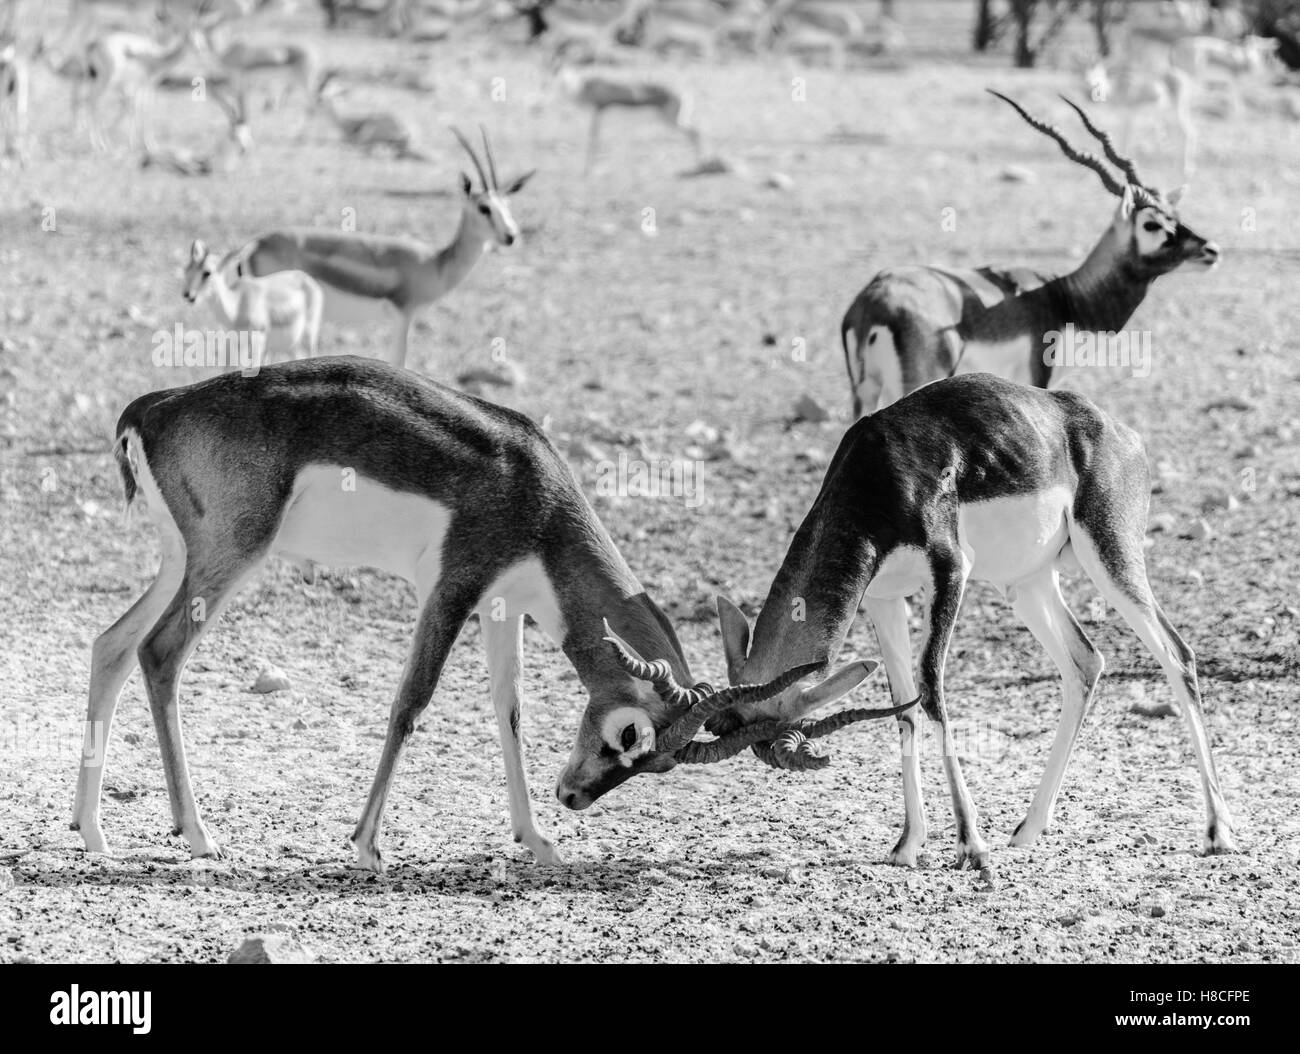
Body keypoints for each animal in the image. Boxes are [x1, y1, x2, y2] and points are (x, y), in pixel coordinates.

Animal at [73, 358, 832, 868]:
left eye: (660, 766)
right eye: (629, 736)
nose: (573, 797)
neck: (534, 492)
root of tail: (155, 408)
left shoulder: (503, 605)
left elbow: (510, 711)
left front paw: (537, 840)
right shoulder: (453, 586)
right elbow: (412, 702)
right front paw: (367, 846)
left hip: (182, 561)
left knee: (112, 644)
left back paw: (92, 831)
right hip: (230, 558)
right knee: (159, 653)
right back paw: (197, 835)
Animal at [182, 239, 323, 363]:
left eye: (207, 273)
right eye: (187, 270)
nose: (188, 294)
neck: (237, 307)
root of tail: (308, 279)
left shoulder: (258, 339)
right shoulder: (235, 340)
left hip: (308, 337)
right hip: (290, 346)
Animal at [231, 128, 530, 371]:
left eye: (507, 205)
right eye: (484, 208)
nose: (511, 236)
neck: (435, 265)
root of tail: (255, 244)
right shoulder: (403, 314)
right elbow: (399, 360)